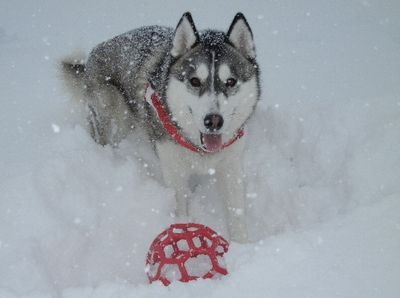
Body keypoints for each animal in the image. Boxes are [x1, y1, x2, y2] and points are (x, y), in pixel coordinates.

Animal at [59, 12, 260, 243]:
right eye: (194, 81)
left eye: (230, 81)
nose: (214, 121)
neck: (198, 148)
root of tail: (92, 56)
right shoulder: (173, 169)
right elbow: (181, 208)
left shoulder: (231, 164)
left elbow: (236, 211)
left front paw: (242, 245)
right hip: (111, 108)